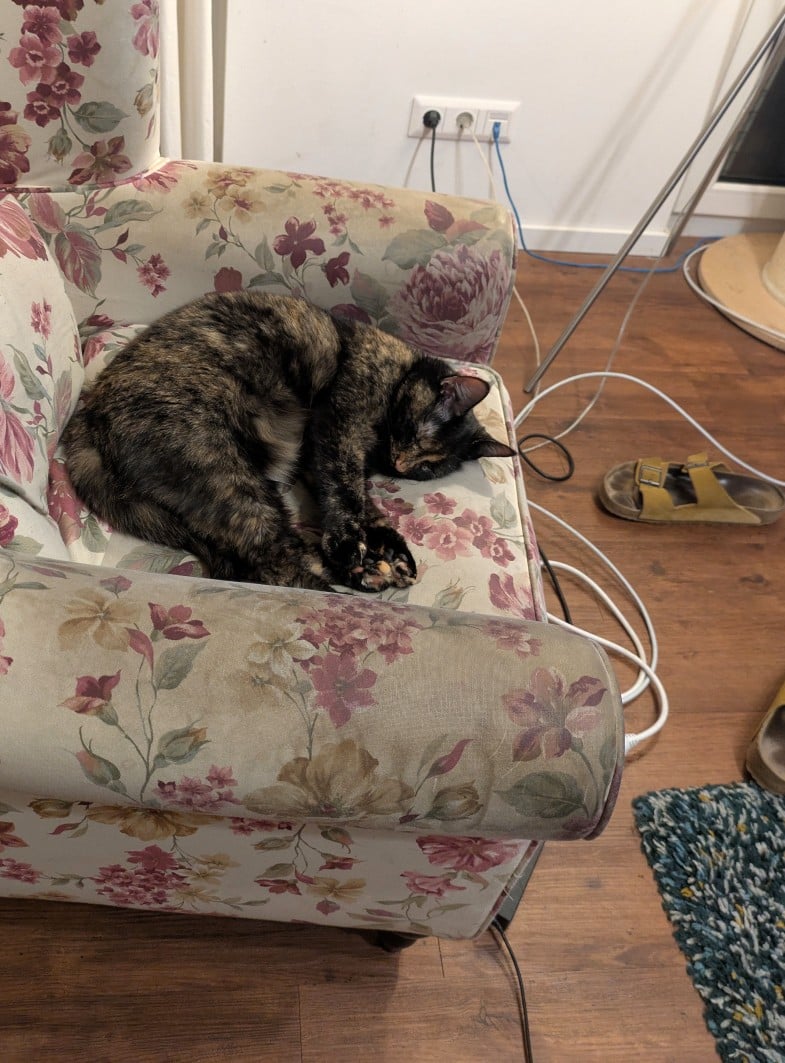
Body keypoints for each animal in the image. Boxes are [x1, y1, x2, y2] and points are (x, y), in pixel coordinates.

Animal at [63, 290, 516, 593]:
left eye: (427, 470)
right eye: (418, 433)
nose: (403, 465)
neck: (398, 371)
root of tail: (90, 413)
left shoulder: (319, 457)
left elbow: (364, 504)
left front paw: (388, 546)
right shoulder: (338, 428)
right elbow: (347, 493)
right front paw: (353, 546)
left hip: (204, 507)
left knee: (245, 562)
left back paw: (370, 571)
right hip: (224, 472)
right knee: (271, 558)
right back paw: (349, 580)